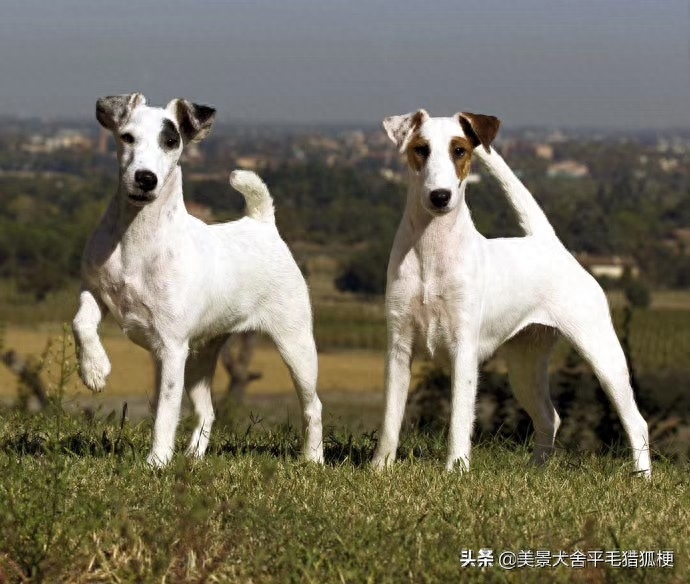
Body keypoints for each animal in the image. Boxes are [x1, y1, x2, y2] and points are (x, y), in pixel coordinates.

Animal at [71, 93, 324, 468]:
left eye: (171, 141)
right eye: (127, 137)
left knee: (313, 405)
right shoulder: (95, 291)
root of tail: (262, 224)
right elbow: (81, 323)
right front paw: (94, 369)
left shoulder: (171, 349)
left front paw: (157, 462)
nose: (145, 178)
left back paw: (313, 458)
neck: (136, 239)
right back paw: (192, 457)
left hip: (296, 346)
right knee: (207, 410)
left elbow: (165, 411)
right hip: (200, 358)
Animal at [370, 108, 652, 474]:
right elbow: (391, 417)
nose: (440, 196)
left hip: (602, 354)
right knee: (549, 417)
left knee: (636, 422)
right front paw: (379, 468)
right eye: (421, 149)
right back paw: (537, 472)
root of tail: (549, 244)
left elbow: (460, 418)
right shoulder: (400, 346)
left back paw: (642, 477)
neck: (431, 252)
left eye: (459, 150)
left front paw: (455, 471)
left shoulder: (464, 349)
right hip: (525, 364)